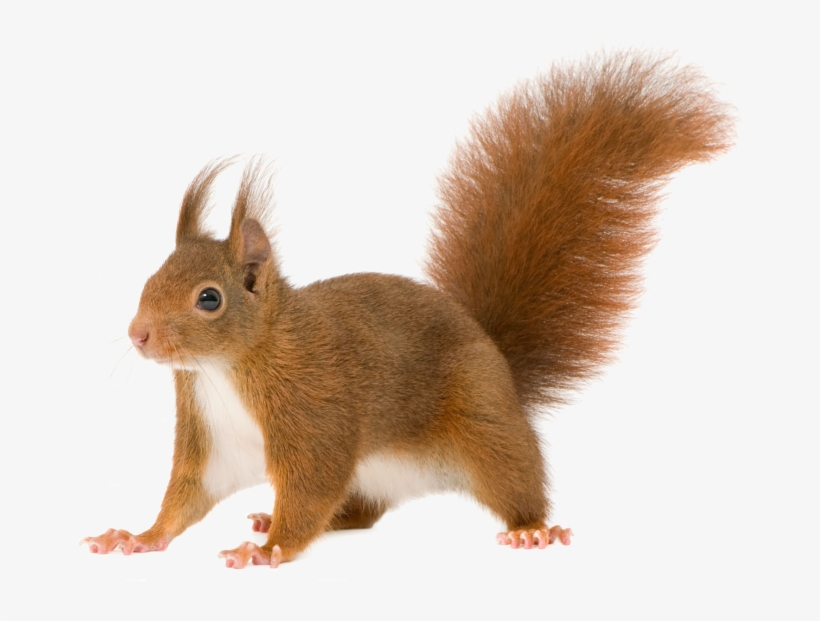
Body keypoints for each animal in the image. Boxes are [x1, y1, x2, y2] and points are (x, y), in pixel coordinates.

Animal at [82, 51, 733, 568]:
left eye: (209, 299)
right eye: (149, 277)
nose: (138, 335)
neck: (228, 368)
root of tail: (498, 360)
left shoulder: (313, 409)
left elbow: (311, 485)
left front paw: (269, 550)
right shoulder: (212, 435)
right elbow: (190, 495)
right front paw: (139, 536)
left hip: (485, 428)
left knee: (514, 481)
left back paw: (531, 529)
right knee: (358, 513)